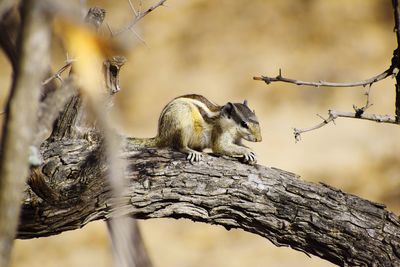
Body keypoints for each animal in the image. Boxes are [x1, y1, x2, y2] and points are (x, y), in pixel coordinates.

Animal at [129, 94, 262, 165]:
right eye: (244, 124)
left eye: (257, 119)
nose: (259, 139)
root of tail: (161, 135)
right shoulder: (219, 133)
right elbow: (221, 147)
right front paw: (247, 152)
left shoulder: (237, 139)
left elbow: (239, 145)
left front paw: (252, 153)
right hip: (182, 118)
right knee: (178, 146)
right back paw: (191, 151)